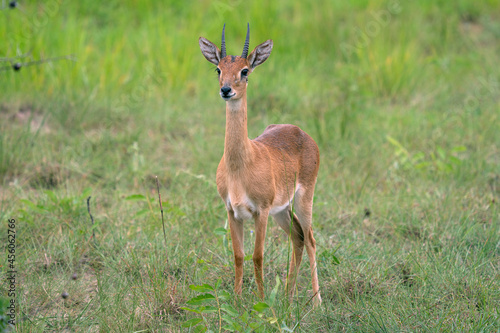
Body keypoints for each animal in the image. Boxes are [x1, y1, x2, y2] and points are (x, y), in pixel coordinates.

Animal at [198, 23, 320, 304]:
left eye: (244, 70)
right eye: (218, 68)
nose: (226, 90)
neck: (240, 167)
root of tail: (300, 132)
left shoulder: (260, 212)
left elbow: (257, 256)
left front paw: (262, 301)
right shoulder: (232, 211)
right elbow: (238, 256)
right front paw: (237, 298)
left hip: (303, 200)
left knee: (310, 239)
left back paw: (317, 302)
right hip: (282, 211)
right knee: (297, 237)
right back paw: (288, 295)